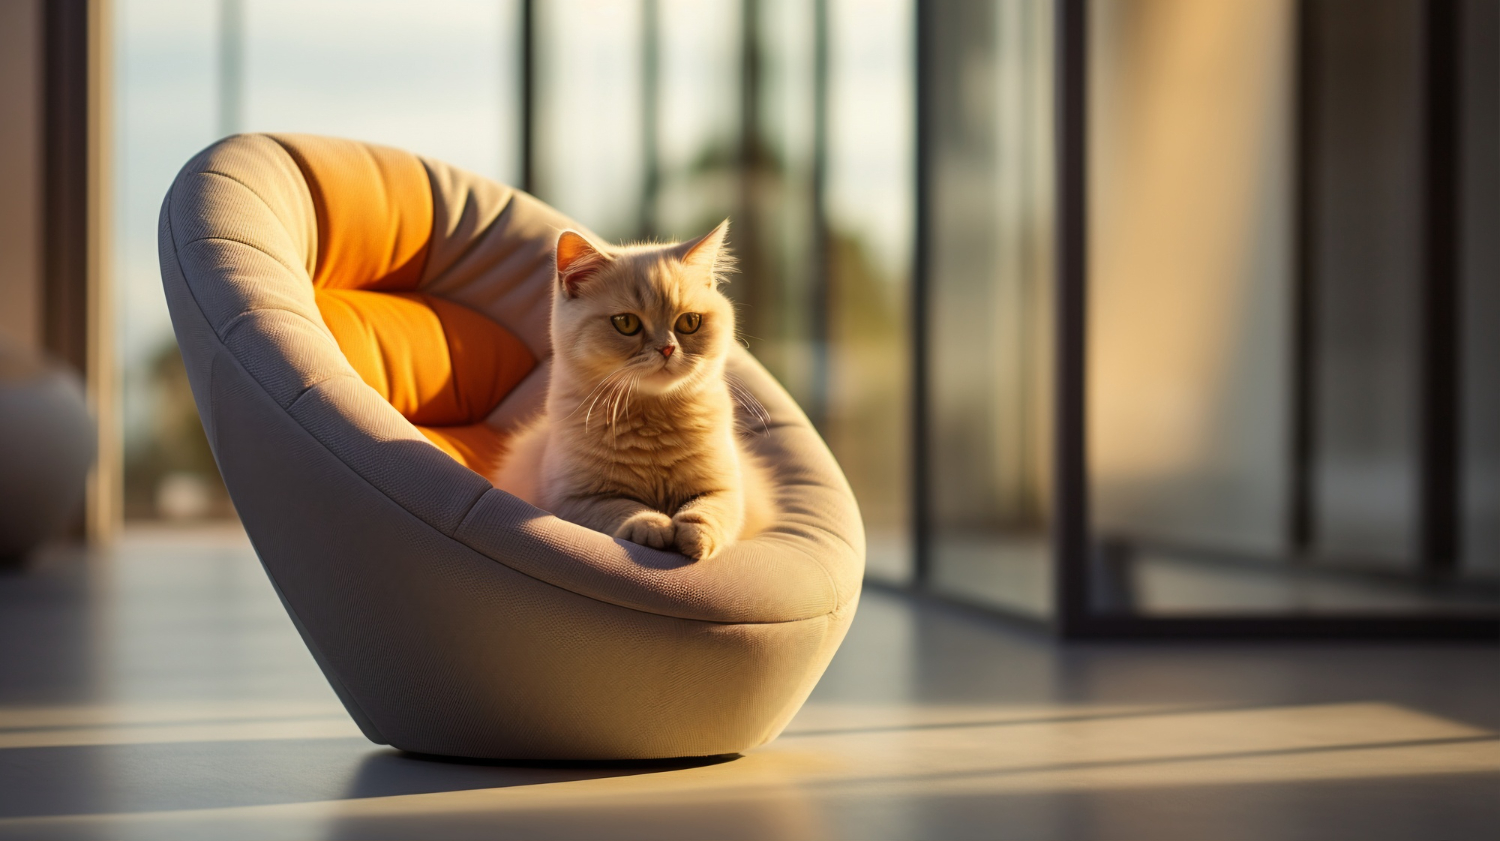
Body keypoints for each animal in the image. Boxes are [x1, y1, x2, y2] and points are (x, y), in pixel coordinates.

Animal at [492, 220, 774, 560]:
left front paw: (694, 537)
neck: (652, 418)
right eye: (626, 323)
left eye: (690, 322)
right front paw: (652, 526)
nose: (667, 348)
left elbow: (706, 510)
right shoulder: (577, 499)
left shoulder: (725, 489)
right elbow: (624, 508)